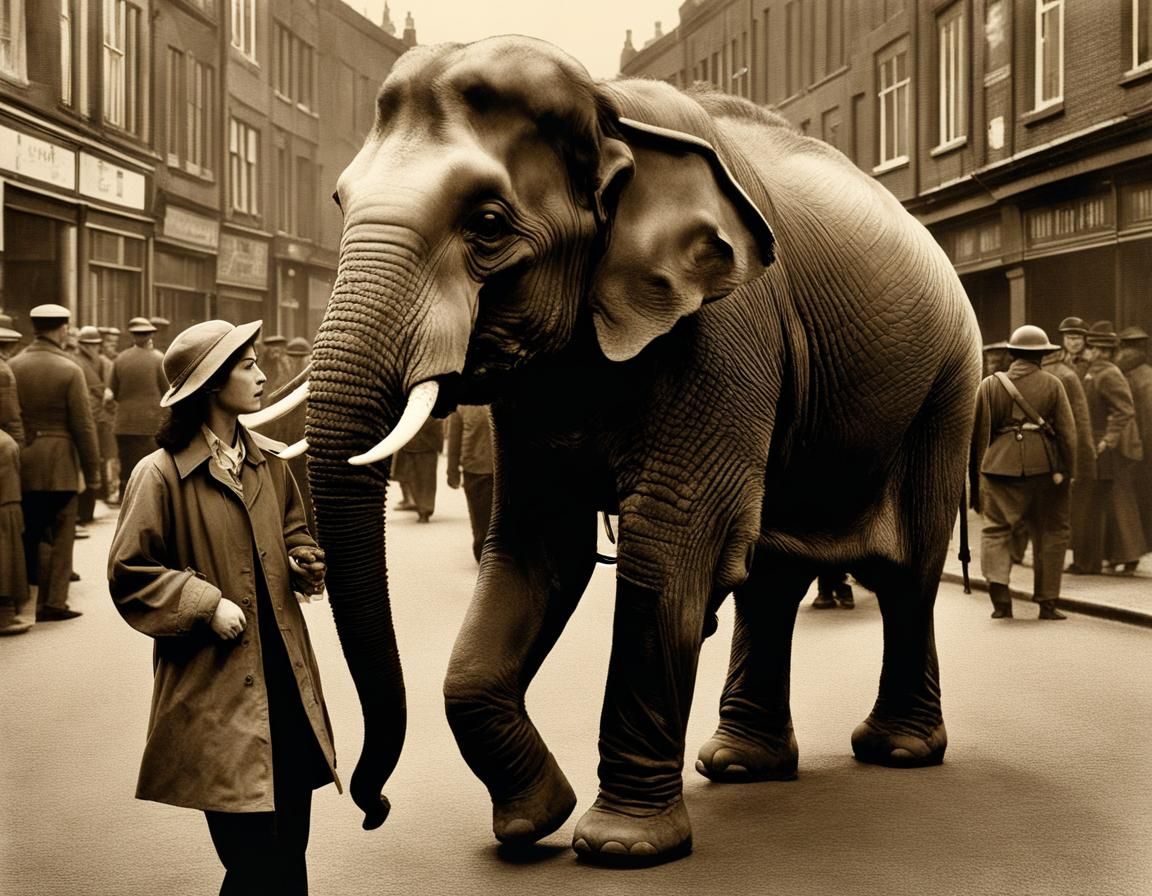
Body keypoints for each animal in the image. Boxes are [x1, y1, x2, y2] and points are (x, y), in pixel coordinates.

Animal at [285, 35, 981, 866]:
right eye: (338, 203)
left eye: (487, 225)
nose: (371, 807)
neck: (609, 109)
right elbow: (538, 544)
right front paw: (533, 823)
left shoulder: (723, 327)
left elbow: (671, 548)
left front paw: (620, 848)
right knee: (772, 576)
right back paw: (740, 764)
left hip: (946, 389)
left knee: (908, 571)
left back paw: (897, 751)